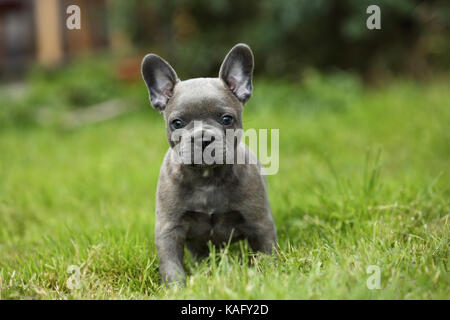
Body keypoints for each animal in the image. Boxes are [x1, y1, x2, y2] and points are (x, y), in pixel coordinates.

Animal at [142, 43, 278, 284]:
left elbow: (266, 253)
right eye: (177, 123)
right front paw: (176, 288)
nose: (203, 138)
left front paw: (268, 278)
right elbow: (171, 265)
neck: (206, 179)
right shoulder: (169, 229)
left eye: (226, 119)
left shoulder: (260, 222)